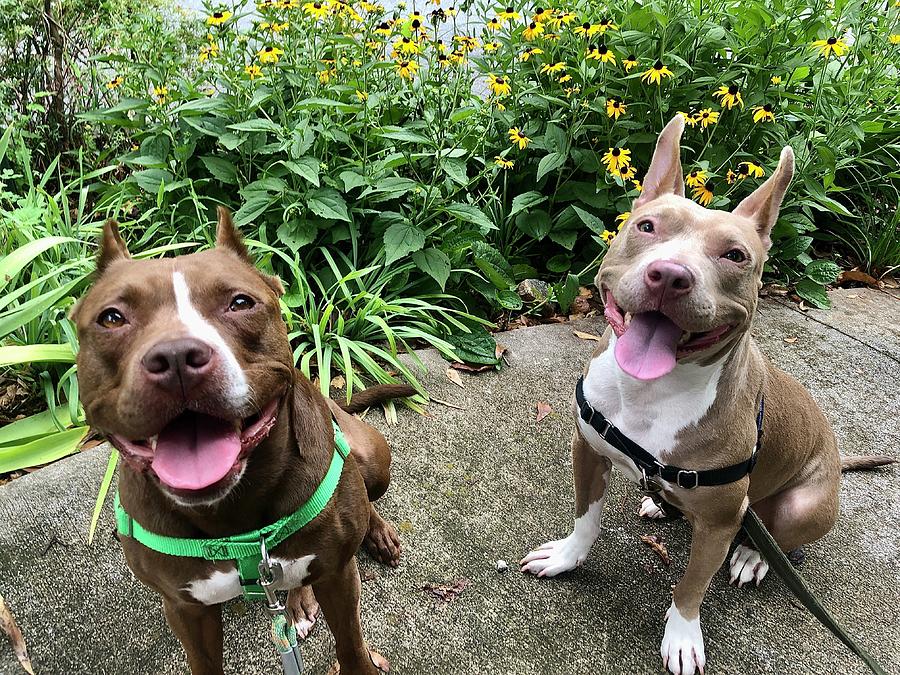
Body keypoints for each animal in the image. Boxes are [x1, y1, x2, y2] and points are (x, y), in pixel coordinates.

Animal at [72, 209, 410, 672]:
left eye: (239, 302)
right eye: (111, 318)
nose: (176, 357)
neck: (233, 519)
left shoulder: (339, 577)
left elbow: (352, 647)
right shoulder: (186, 609)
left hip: (372, 459)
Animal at [520, 116, 892, 675]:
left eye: (735, 255)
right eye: (647, 227)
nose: (671, 275)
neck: (650, 391)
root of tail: (836, 456)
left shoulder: (719, 520)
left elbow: (692, 583)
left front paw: (682, 636)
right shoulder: (586, 449)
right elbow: (586, 518)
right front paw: (567, 557)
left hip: (802, 505)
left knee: (773, 534)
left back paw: (752, 556)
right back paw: (661, 506)